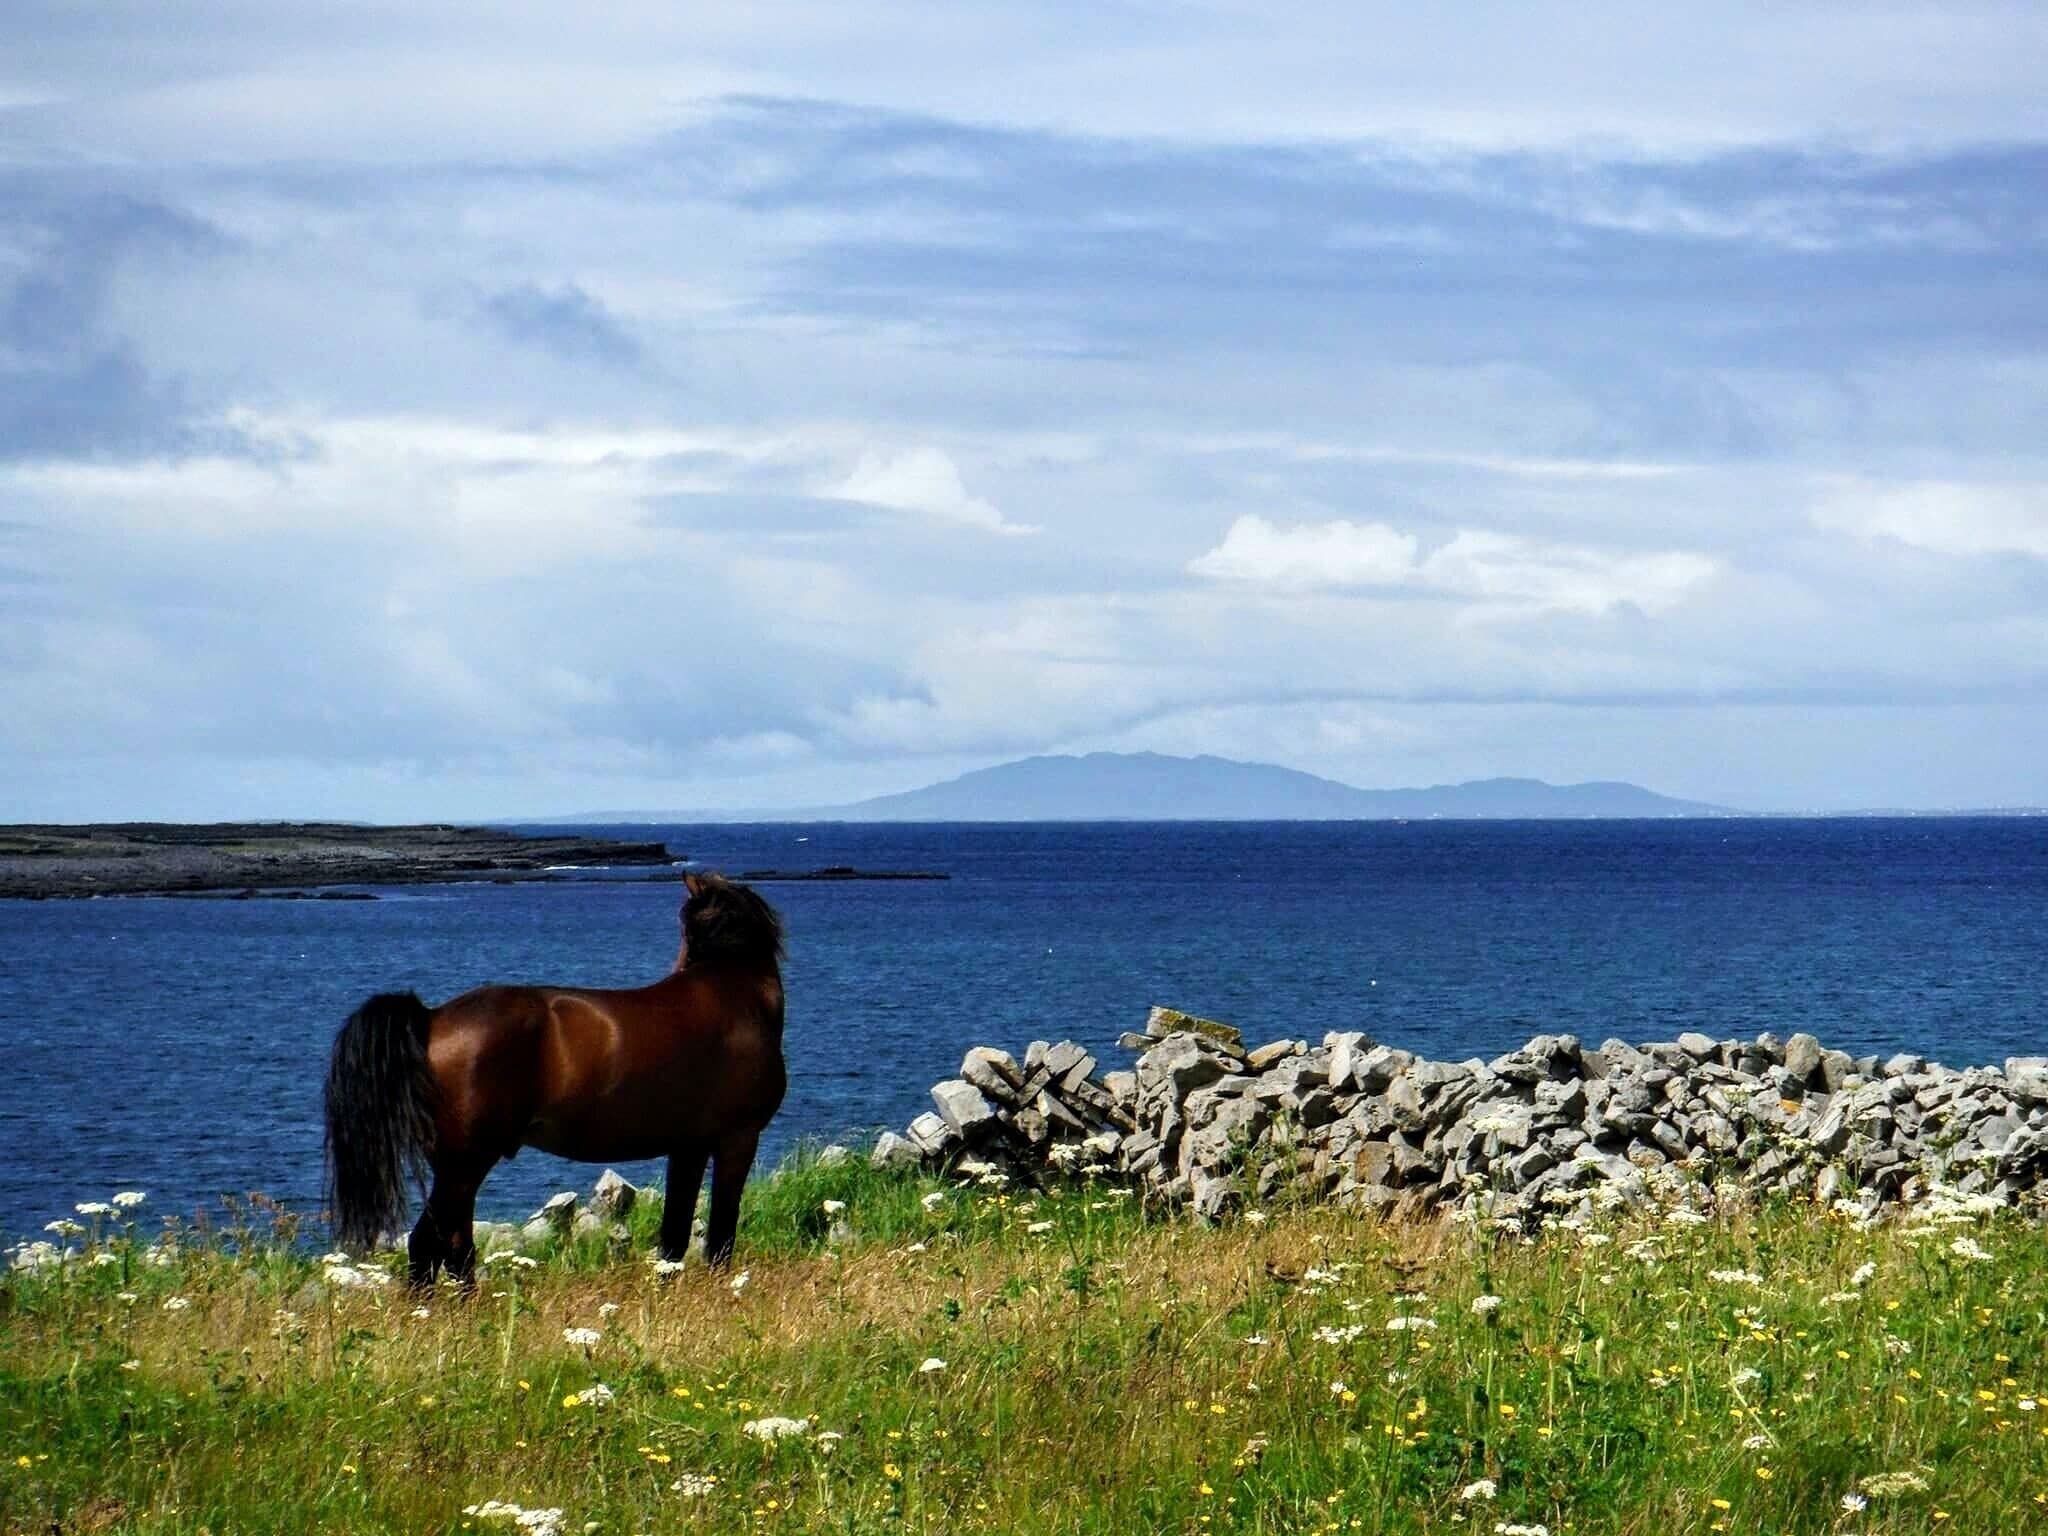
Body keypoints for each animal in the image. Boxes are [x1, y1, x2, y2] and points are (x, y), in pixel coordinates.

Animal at [322, 871, 785, 1286]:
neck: (734, 994)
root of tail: (431, 1019)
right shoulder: (737, 1139)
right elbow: (721, 1232)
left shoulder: (688, 1147)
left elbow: (674, 1234)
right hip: (463, 1165)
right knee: (429, 1245)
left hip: (460, 1169)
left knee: (454, 1248)